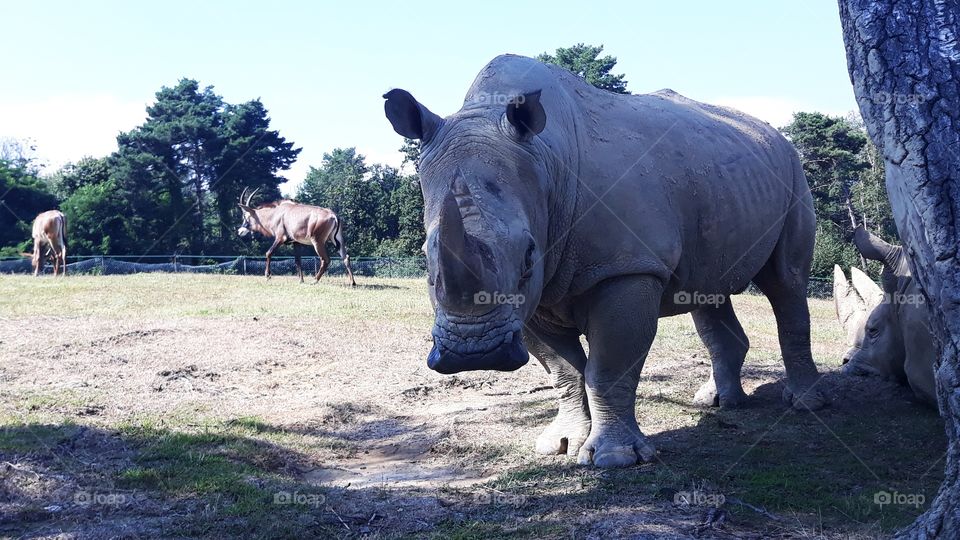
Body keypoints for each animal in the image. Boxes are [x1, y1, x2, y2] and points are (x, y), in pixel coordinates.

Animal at [383, 54, 825, 468]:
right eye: (426, 261)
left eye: (528, 256)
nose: (475, 354)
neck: (547, 161)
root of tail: (777, 136)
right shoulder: (535, 296)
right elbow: (565, 371)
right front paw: (560, 445)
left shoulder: (626, 267)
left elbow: (608, 367)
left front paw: (615, 458)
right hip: (721, 180)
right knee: (706, 291)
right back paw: (717, 402)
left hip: (792, 173)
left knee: (785, 282)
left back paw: (805, 404)